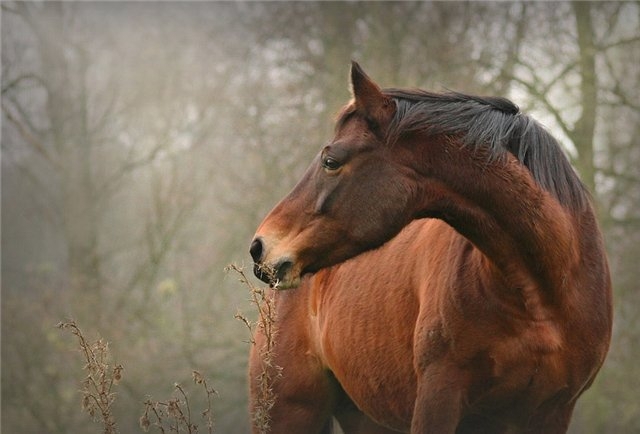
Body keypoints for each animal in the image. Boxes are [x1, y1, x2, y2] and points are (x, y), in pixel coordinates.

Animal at [248, 62, 612, 434]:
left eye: (331, 161)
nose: (261, 247)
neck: (541, 298)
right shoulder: (439, 396)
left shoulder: (553, 410)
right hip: (289, 412)